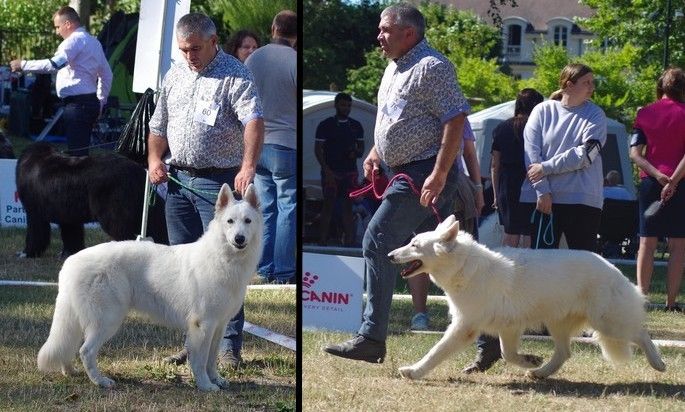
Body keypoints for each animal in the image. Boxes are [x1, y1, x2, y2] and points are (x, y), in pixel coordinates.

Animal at [15, 142, 168, 258]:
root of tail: (137, 172)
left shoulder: (34, 212)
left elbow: (35, 232)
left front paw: (27, 253)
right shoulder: (69, 215)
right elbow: (72, 234)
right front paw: (70, 254)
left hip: (115, 215)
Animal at [36, 184, 262, 392]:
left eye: (248, 221)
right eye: (230, 222)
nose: (239, 239)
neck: (224, 258)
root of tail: (71, 262)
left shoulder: (219, 325)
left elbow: (212, 358)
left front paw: (216, 379)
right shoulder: (203, 325)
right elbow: (200, 361)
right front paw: (205, 385)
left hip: (81, 320)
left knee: (70, 345)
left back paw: (70, 371)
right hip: (107, 320)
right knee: (85, 351)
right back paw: (100, 381)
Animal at [388, 216, 664, 380]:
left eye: (414, 245)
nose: (390, 255)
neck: (464, 266)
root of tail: (612, 269)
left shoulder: (464, 327)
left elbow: (436, 351)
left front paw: (413, 371)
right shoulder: (508, 328)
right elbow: (507, 354)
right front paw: (530, 360)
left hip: (608, 323)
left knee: (641, 334)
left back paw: (658, 363)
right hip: (558, 323)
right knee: (564, 353)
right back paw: (541, 372)